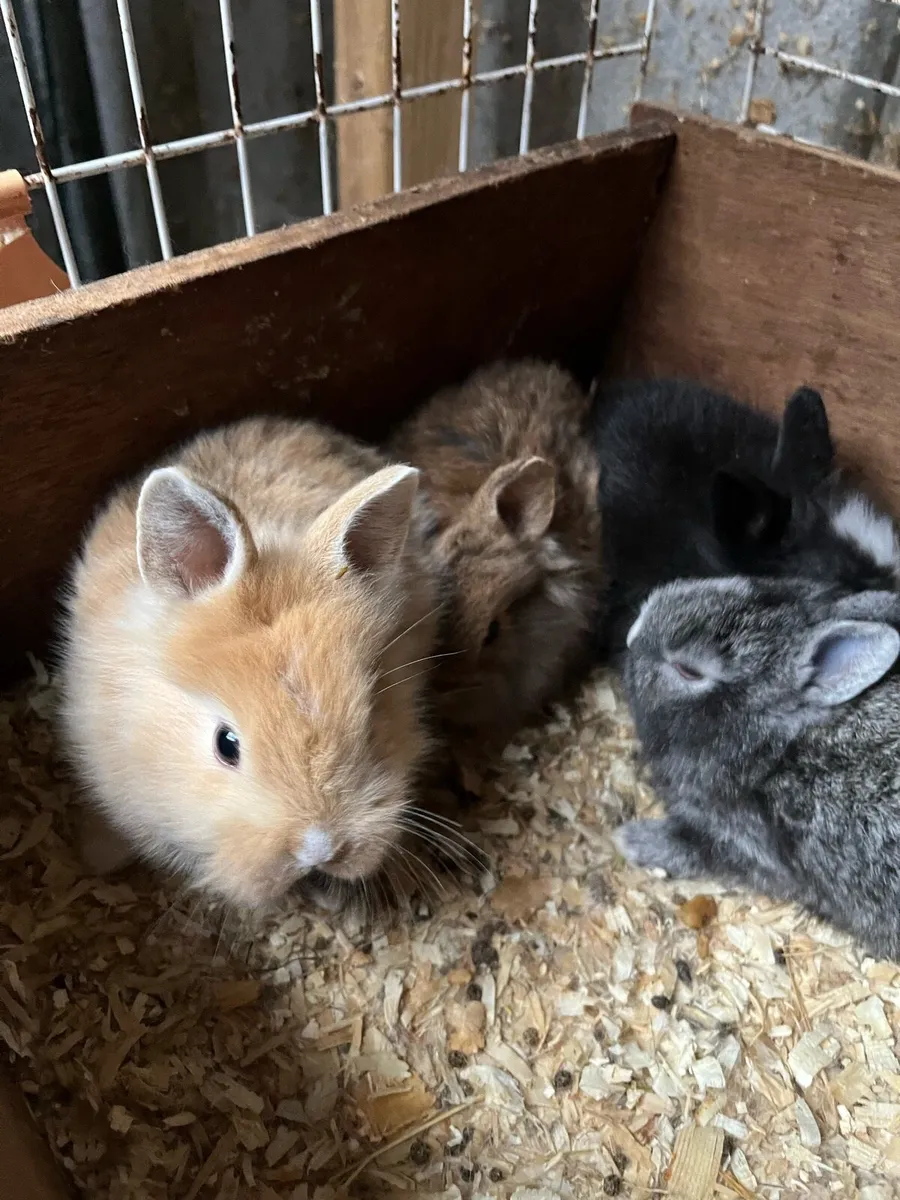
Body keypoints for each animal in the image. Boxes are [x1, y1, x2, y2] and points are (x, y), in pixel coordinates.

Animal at [618, 573, 900, 960]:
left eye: (688, 670)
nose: (631, 634)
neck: (773, 747)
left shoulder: (746, 846)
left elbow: (696, 848)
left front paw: (632, 840)